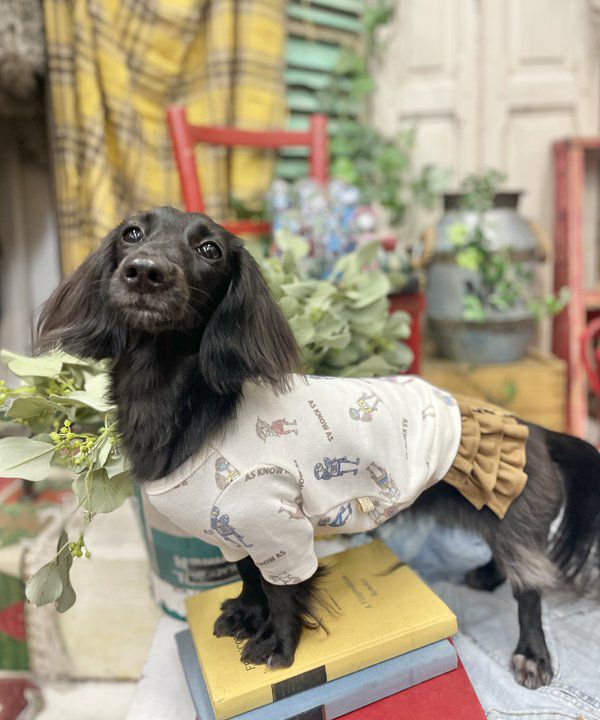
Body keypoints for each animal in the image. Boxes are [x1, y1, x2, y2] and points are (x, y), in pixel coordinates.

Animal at [37, 206, 600, 689]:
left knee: (529, 591)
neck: (188, 407)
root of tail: (535, 428)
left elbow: (283, 592)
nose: (144, 272)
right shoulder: (232, 530)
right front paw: (246, 613)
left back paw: (532, 653)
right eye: (131, 233)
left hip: (515, 519)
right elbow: (249, 576)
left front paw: (277, 643)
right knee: (503, 557)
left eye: (209, 249)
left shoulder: (278, 525)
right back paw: (485, 575)